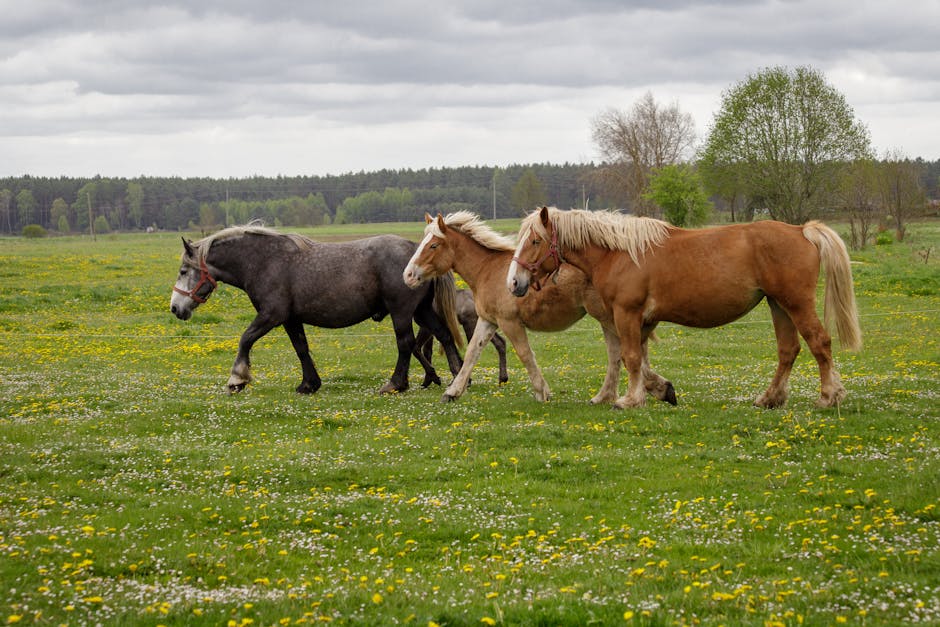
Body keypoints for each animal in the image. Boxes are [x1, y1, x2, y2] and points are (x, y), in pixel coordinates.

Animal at [171, 223, 464, 394]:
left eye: (184, 271)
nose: (175, 308)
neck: (265, 260)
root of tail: (416, 251)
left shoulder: (271, 315)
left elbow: (245, 339)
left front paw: (237, 379)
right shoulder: (290, 319)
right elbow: (301, 348)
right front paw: (309, 384)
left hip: (402, 311)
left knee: (405, 344)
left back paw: (396, 384)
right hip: (421, 310)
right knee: (444, 335)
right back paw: (458, 375)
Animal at [402, 213, 640, 404]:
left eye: (433, 245)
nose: (408, 275)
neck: (486, 270)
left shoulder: (510, 323)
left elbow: (525, 354)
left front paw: (542, 392)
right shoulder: (487, 321)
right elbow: (472, 353)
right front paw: (453, 392)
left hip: (607, 317)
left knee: (623, 350)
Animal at [510, 209, 864, 410]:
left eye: (535, 241)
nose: (514, 282)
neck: (620, 253)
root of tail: (801, 230)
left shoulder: (627, 313)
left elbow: (630, 357)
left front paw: (629, 400)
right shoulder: (643, 321)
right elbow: (639, 360)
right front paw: (658, 391)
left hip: (796, 304)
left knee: (819, 343)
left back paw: (828, 396)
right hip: (778, 305)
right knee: (788, 350)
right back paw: (770, 399)